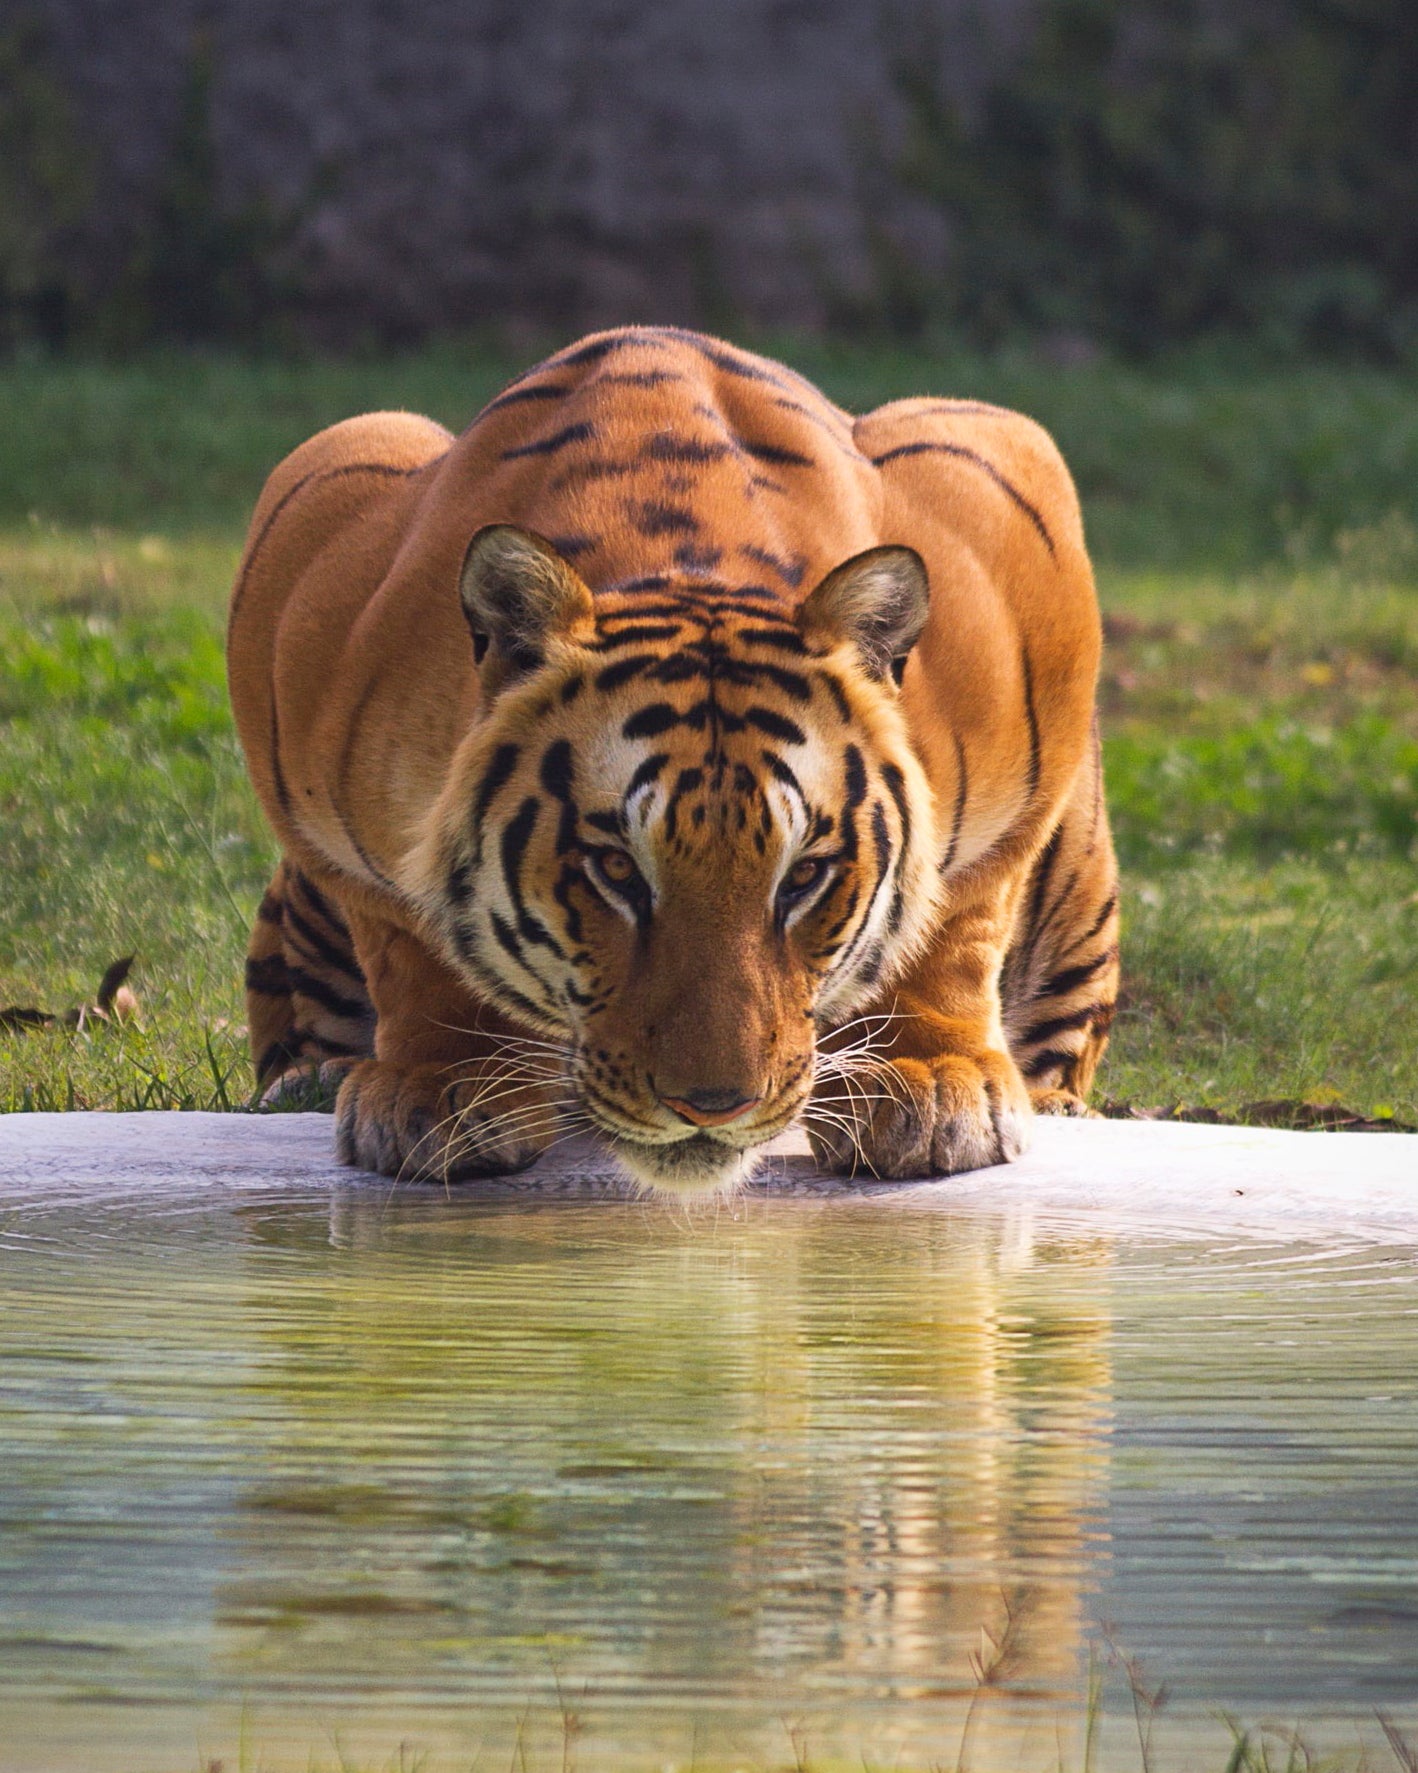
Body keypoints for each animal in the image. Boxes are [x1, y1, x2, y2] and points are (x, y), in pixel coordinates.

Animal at [228, 326, 1118, 1195]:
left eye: (804, 875)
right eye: (617, 870)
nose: (713, 1106)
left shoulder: (1011, 510)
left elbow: (959, 914)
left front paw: (929, 1083)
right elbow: (406, 937)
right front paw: (442, 1086)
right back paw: (311, 1080)